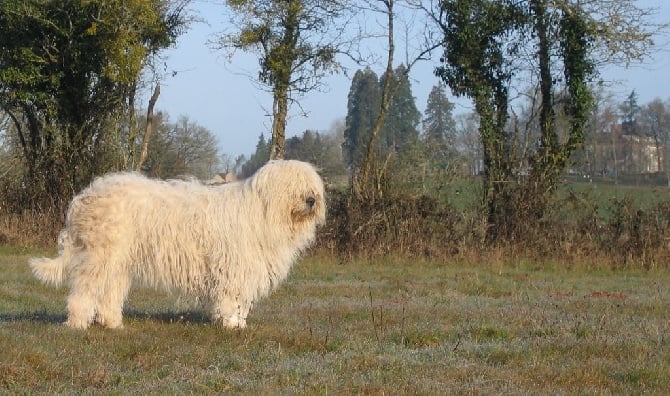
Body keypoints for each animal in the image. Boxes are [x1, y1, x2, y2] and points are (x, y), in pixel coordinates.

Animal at [30, 159, 326, 330]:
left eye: (311, 185)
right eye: (292, 184)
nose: (311, 199)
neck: (261, 213)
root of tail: (85, 197)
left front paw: (239, 323)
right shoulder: (234, 268)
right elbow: (232, 299)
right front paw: (231, 325)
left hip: (118, 261)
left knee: (110, 292)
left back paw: (112, 323)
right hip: (100, 255)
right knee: (84, 290)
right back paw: (77, 324)